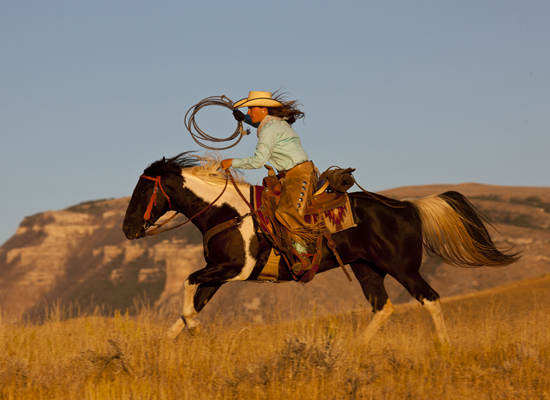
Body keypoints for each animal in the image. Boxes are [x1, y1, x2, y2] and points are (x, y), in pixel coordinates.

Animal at [122, 153, 520, 344]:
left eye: (144, 190)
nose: (127, 229)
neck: (226, 212)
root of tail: (408, 206)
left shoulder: (234, 269)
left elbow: (187, 285)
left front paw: (193, 331)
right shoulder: (218, 275)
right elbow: (192, 302)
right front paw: (170, 341)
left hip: (403, 268)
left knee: (430, 298)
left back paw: (443, 347)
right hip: (366, 269)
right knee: (383, 307)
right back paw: (357, 348)